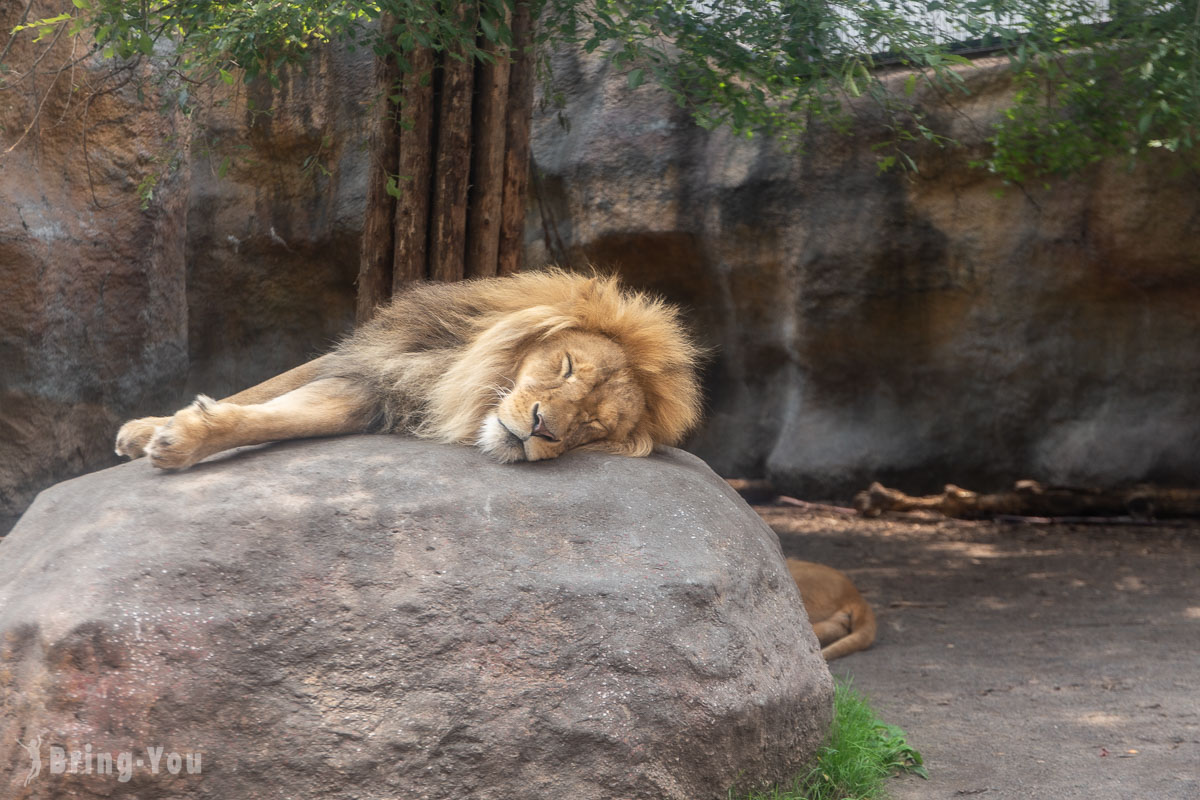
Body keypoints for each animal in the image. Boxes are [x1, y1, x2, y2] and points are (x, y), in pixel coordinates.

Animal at [114, 268, 700, 470]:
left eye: (591, 428)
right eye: (568, 368)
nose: (542, 429)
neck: (454, 374)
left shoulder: (374, 396)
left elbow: (284, 417)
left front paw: (181, 440)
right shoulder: (375, 359)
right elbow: (262, 391)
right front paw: (147, 428)